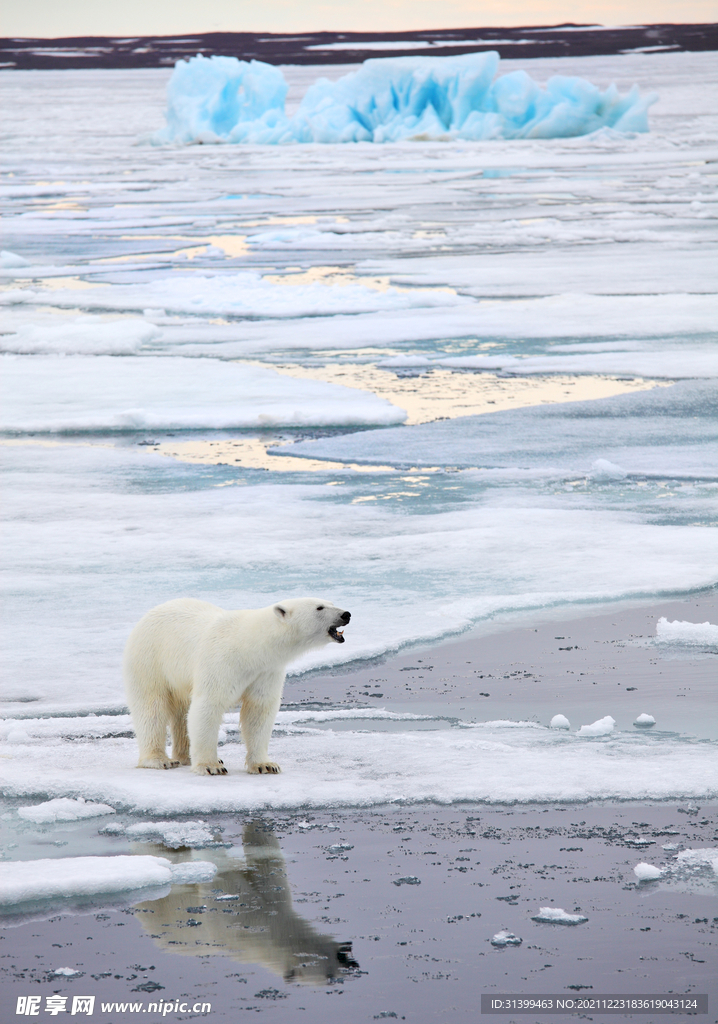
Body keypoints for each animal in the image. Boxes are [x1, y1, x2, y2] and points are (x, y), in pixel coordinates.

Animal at [125, 598, 350, 770]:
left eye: (331, 602)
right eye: (319, 607)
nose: (346, 614)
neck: (249, 647)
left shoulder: (266, 671)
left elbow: (259, 710)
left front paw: (265, 765)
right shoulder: (221, 662)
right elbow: (208, 706)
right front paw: (210, 766)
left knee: (181, 713)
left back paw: (185, 757)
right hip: (150, 659)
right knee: (151, 708)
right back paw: (159, 760)